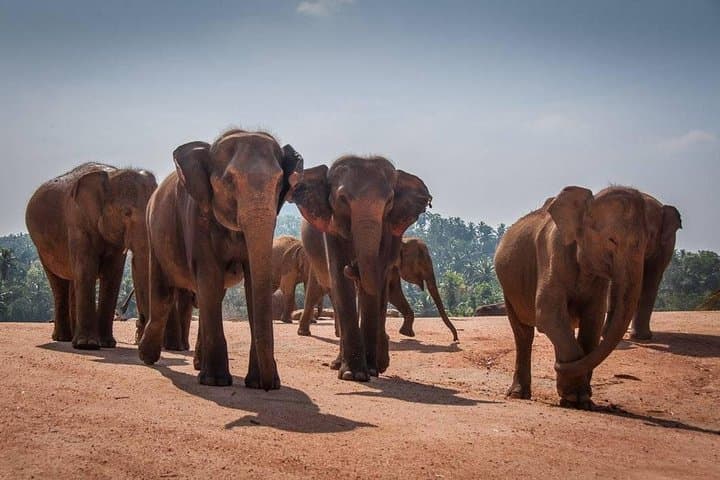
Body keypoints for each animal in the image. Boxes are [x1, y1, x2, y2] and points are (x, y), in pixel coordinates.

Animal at [25, 163, 157, 349]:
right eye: (126, 213)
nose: (141, 324)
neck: (111, 174)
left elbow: (113, 275)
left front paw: (107, 343)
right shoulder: (78, 223)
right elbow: (87, 269)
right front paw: (87, 345)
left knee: (72, 280)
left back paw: (72, 337)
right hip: (41, 248)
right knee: (58, 283)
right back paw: (63, 338)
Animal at [137, 129, 303, 389]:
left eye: (279, 183)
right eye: (229, 181)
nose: (270, 386)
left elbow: (250, 283)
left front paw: (255, 383)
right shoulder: (197, 219)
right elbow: (209, 275)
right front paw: (216, 381)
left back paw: (198, 364)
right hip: (154, 234)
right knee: (164, 295)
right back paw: (147, 357)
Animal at [290, 155, 431, 381]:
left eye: (389, 201)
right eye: (342, 198)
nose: (353, 265)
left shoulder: (389, 231)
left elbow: (379, 281)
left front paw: (371, 370)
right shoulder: (331, 228)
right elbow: (340, 277)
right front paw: (353, 374)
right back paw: (336, 362)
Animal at [494, 186, 654, 409]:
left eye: (648, 242)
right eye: (611, 240)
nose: (558, 366)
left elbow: (593, 321)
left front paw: (580, 398)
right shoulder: (551, 252)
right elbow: (548, 314)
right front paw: (573, 396)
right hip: (508, 289)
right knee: (523, 333)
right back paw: (518, 394)